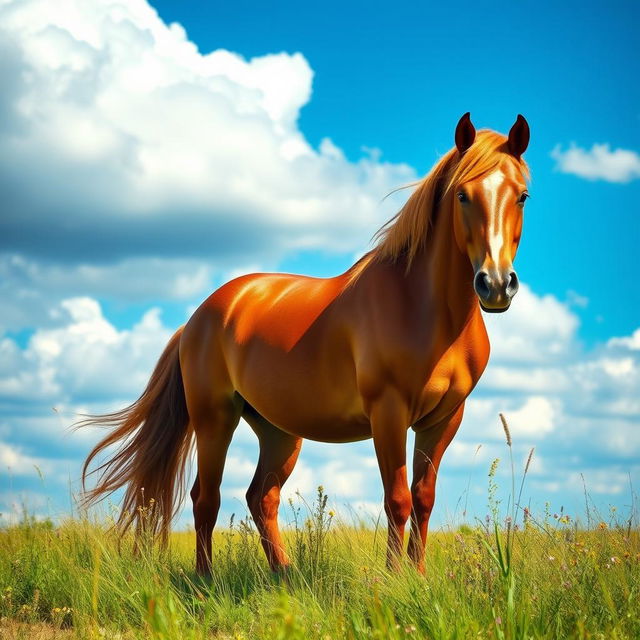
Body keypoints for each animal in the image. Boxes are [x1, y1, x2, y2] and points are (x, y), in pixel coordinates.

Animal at [80, 114, 528, 576]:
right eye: (462, 194)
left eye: (522, 196)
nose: (496, 285)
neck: (422, 307)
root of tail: (197, 319)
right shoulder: (388, 414)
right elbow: (397, 500)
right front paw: (394, 580)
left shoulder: (443, 419)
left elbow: (423, 499)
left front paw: (417, 578)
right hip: (214, 418)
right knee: (206, 499)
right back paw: (206, 580)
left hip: (277, 431)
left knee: (261, 497)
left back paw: (284, 574)